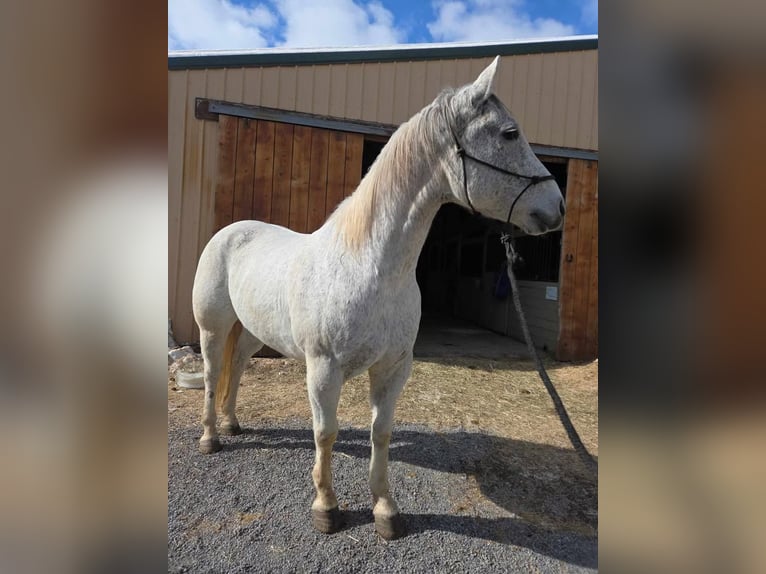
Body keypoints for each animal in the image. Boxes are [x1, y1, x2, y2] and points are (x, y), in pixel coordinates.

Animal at [191, 56, 565, 540]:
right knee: (212, 371)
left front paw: (385, 509)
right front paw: (326, 507)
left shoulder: (394, 367)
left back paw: (233, 424)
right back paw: (211, 437)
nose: (558, 206)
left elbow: (381, 434)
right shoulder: (323, 369)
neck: (371, 267)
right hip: (213, 328)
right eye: (509, 133)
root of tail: (231, 231)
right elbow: (326, 433)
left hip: (255, 331)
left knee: (235, 368)